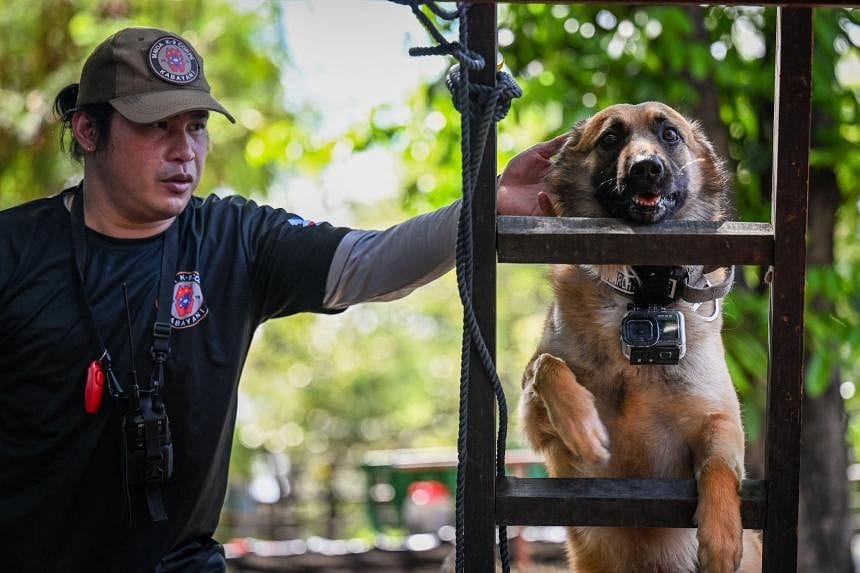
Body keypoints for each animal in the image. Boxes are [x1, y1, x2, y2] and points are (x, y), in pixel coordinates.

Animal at [520, 103, 764, 572]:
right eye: (610, 139)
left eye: (670, 134)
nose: (646, 169)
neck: (642, 292)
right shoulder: (535, 425)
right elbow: (547, 366)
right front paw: (583, 427)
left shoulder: (719, 418)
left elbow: (720, 465)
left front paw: (723, 539)